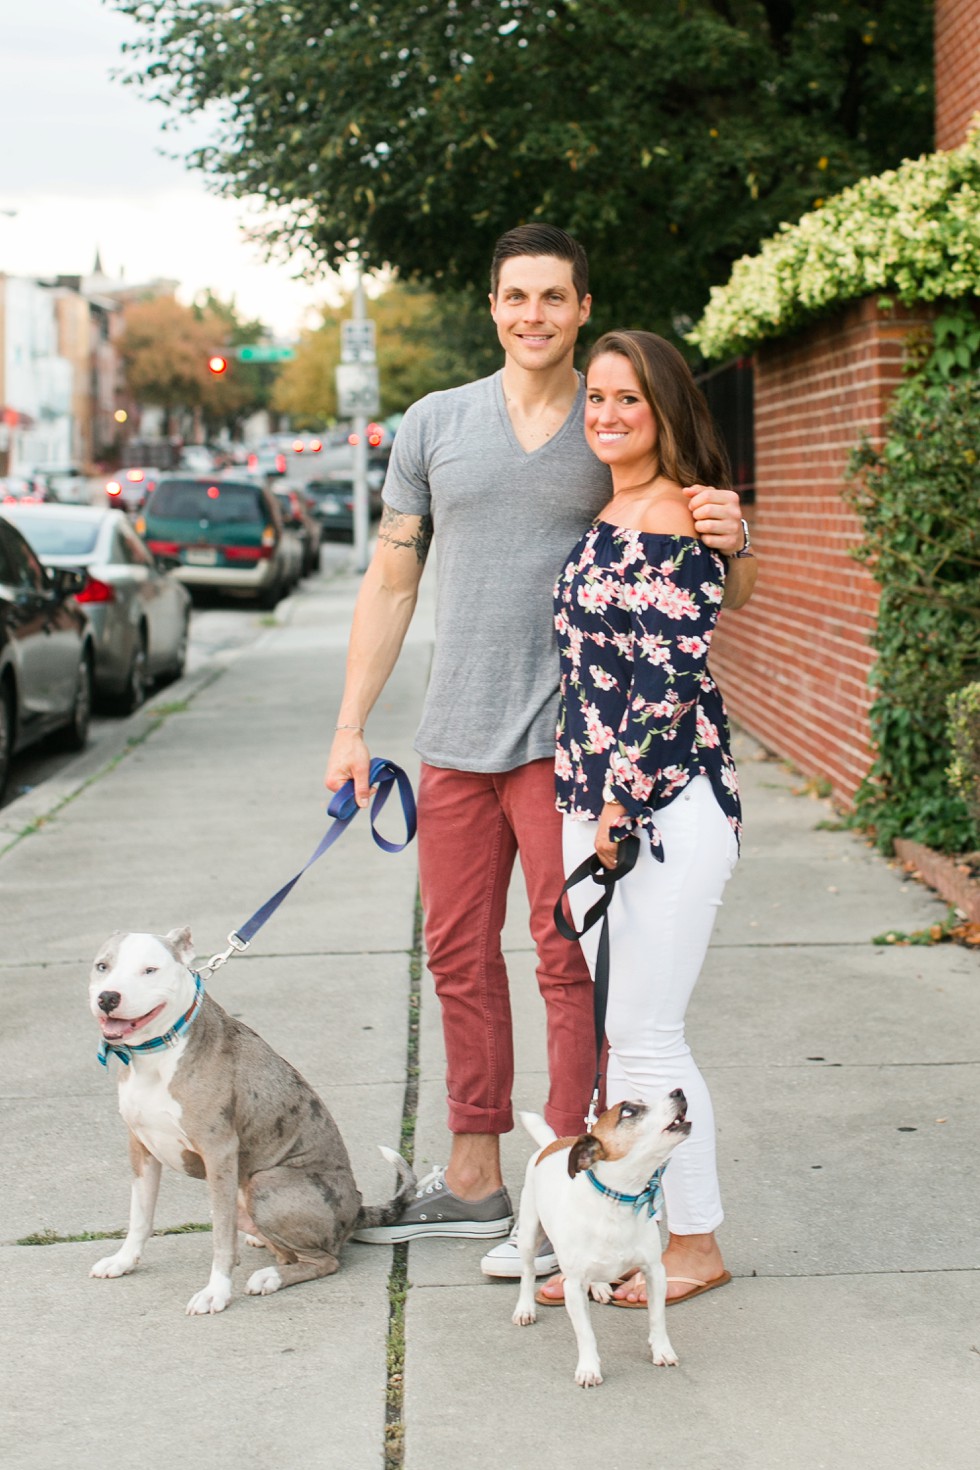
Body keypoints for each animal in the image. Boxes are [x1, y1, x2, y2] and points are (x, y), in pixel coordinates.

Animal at [88, 923, 414, 1317]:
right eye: (102, 966)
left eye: (150, 970)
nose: (108, 997)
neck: (160, 1052)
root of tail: (356, 1208)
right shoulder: (141, 1148)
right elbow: (140, 1216)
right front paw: (123, 1260)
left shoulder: (219, 1152)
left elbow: (220, 1236)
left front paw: (216, 1291)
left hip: (266, 1183)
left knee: (325, 1260)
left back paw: (270, 1277)